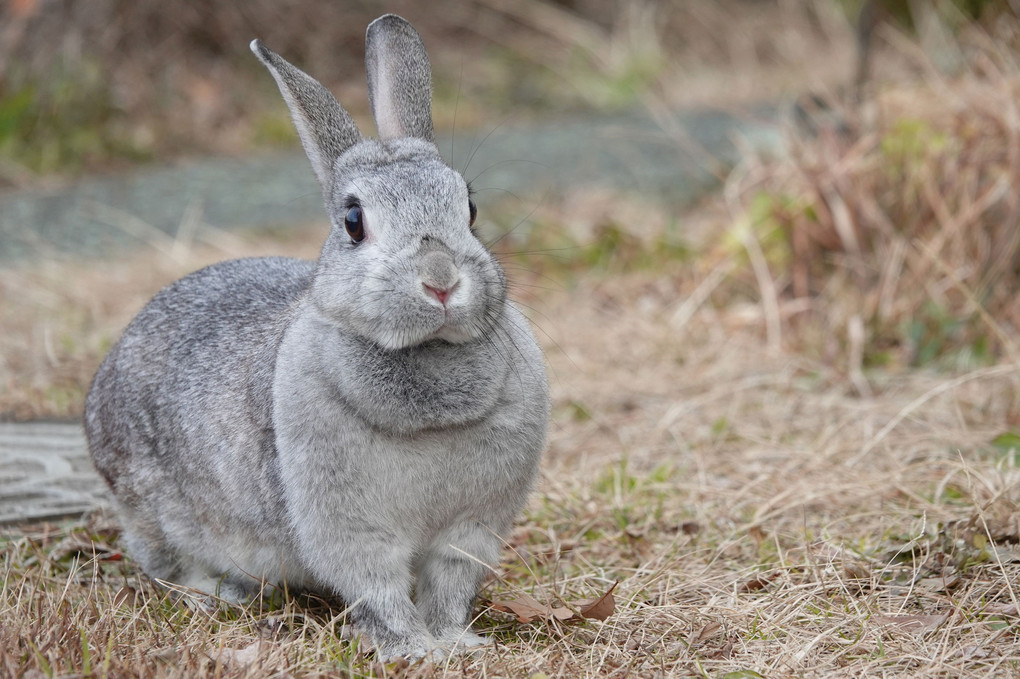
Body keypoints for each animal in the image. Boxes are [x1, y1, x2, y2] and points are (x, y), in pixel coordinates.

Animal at [85, 15, 550, 656]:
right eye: (353, 221)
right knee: (164, 563)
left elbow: (447, 585)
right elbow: (378, 587)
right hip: (149, 507)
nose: (441, 281)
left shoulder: (471, 528)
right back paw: (218, 592)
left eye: (471, 208)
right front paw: (412, 649)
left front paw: (455, 642)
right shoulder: (348, 526)